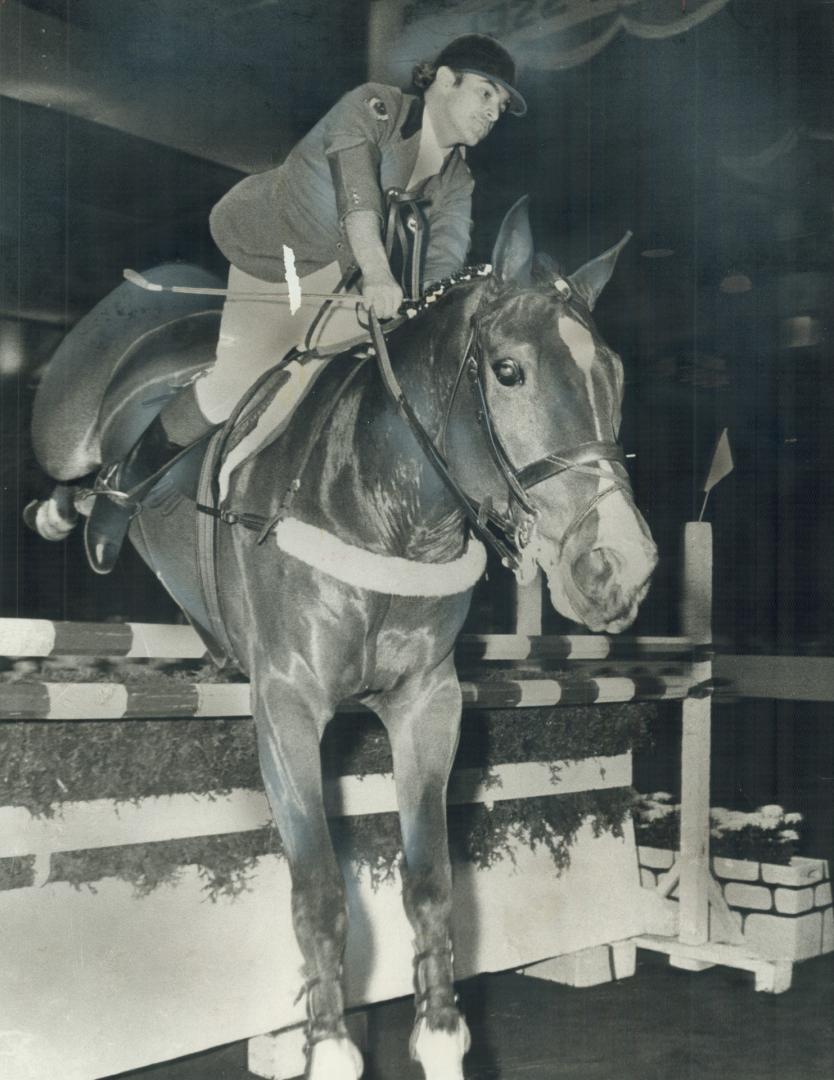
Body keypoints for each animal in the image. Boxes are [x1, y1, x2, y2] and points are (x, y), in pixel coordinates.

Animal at [26, 203, 656, 1080]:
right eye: (508, 372)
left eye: (617, 378)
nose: (619, 568)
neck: (385, 509)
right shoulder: (288, 706)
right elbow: (320, 889)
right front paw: (327, 1047)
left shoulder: (428, 704)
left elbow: (430, 883)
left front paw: (439, 1035)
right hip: (70, 426)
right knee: (79, 474)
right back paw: (77, 512)